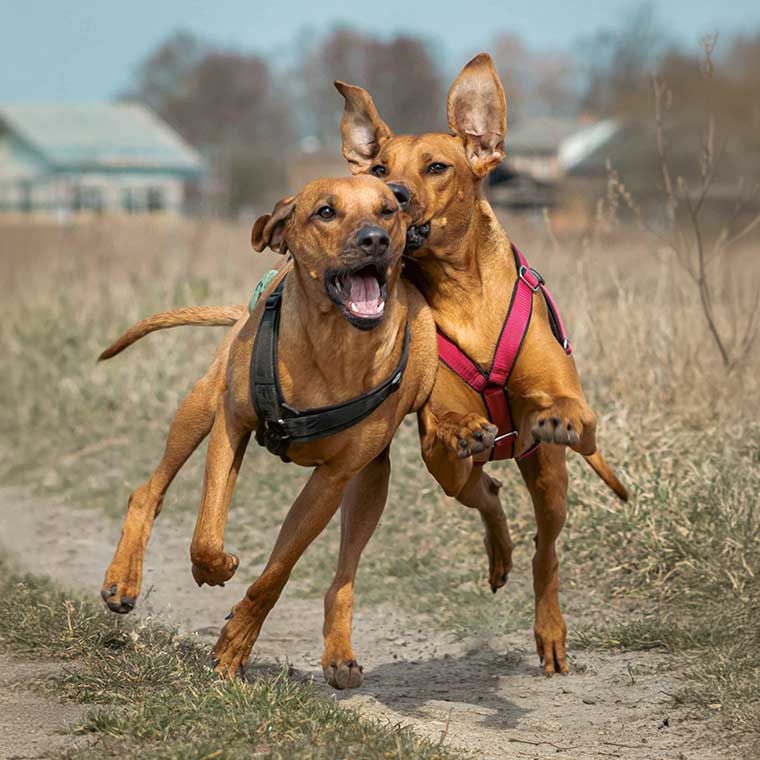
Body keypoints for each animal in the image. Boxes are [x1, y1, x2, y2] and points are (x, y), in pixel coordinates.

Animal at [99, 175, 492, 684]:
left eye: (387, 210)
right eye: (326, 211)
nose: (375, 240)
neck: (334, 344)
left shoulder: (331, 480)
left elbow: (276, 572)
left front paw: (234, 643)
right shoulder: (231, 424)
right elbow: (206, 533)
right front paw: (215, 569)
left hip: (373, 476)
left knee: (345, 572)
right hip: (200, 404)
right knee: (147, 492)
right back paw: (122, 579)